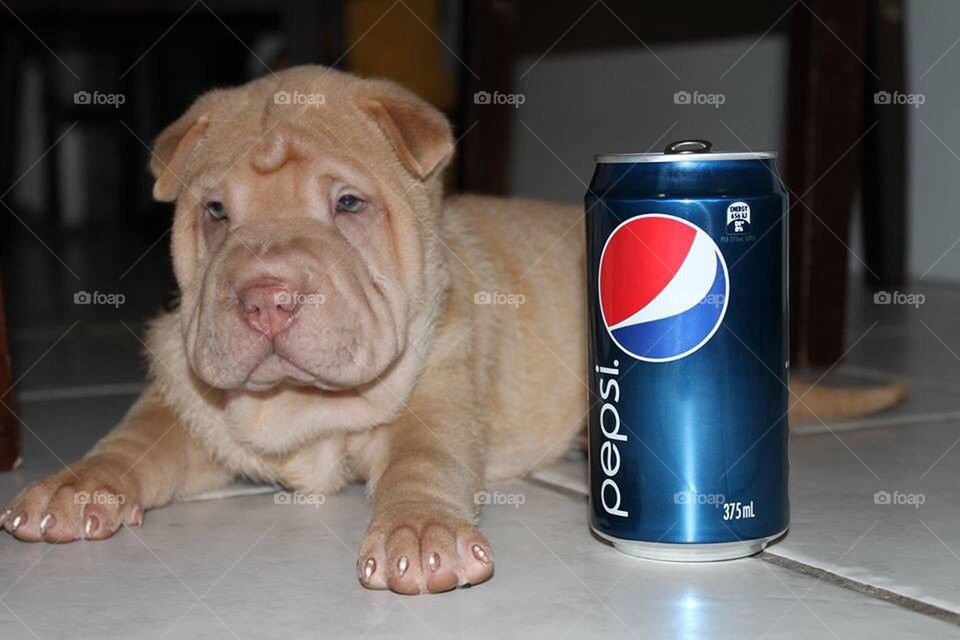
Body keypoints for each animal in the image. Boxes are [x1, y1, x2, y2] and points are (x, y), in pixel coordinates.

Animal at [0, 66, 904, 596]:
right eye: (215, 213)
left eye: (348, 204)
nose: (265, 298)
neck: (303, 406)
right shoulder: (189, 404)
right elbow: (136, 440)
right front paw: (78, 488)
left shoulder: (438, 396)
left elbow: (422, 464)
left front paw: (421, 533)